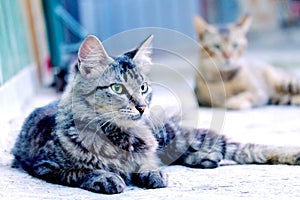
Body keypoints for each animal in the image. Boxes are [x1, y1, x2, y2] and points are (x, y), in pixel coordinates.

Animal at [12, 34, 300, 194]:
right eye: (117, 88)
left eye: (143, 87)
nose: (141, 106)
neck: (120, 136)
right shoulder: (45, 165)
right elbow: (81, 170)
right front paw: (107, 177)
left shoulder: (148, 148)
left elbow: (149, 163)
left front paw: (151, 173)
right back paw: (206, 158)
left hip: (172, 134)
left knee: (243, 147)